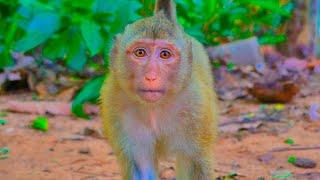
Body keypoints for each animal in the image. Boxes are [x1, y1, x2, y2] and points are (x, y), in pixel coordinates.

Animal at [100, 0, 219, 179]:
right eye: (140, 52)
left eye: (165, 54)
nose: (151, 76)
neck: (154, 108)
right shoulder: (115, 107)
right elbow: (141, 165)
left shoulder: (196, 107)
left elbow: (194, 161)